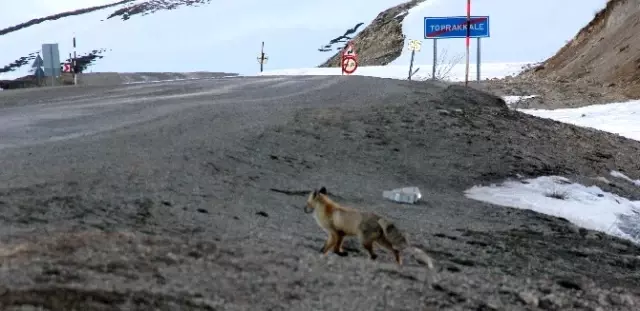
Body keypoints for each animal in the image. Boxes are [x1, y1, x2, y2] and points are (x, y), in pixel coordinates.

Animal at [304, 186, 436, 270]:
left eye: (307, 203)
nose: (304, 209)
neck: (327, 210)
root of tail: (378, 217)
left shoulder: (335, 233)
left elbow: (332, 248)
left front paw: (335, 253)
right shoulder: (339, 234)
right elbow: (330, 247)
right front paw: (330, 253)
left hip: (364, 241)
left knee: (374, 255)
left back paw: (372, 260)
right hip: (380, 241)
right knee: (395, 250)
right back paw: (398, 263)